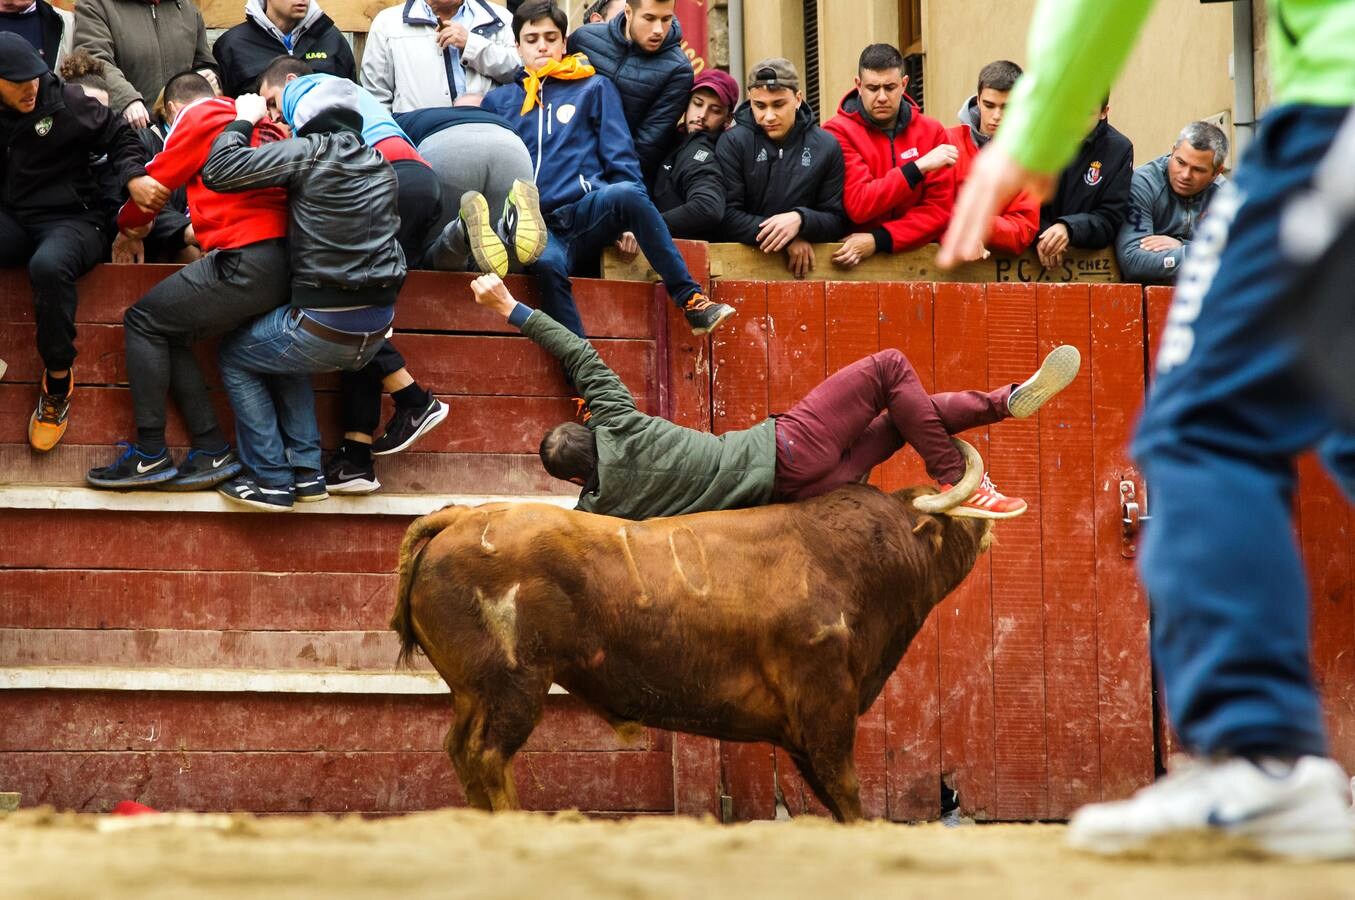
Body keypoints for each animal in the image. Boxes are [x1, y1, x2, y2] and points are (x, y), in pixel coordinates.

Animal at [387, 485, 991, 824]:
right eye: (960, 513)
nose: (989, 522)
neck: (853, 560)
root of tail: (462, 517)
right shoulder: (826, 702)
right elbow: (846, 788)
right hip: (514, 685)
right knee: (488, 756)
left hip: (473, 691)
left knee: (462, 752)